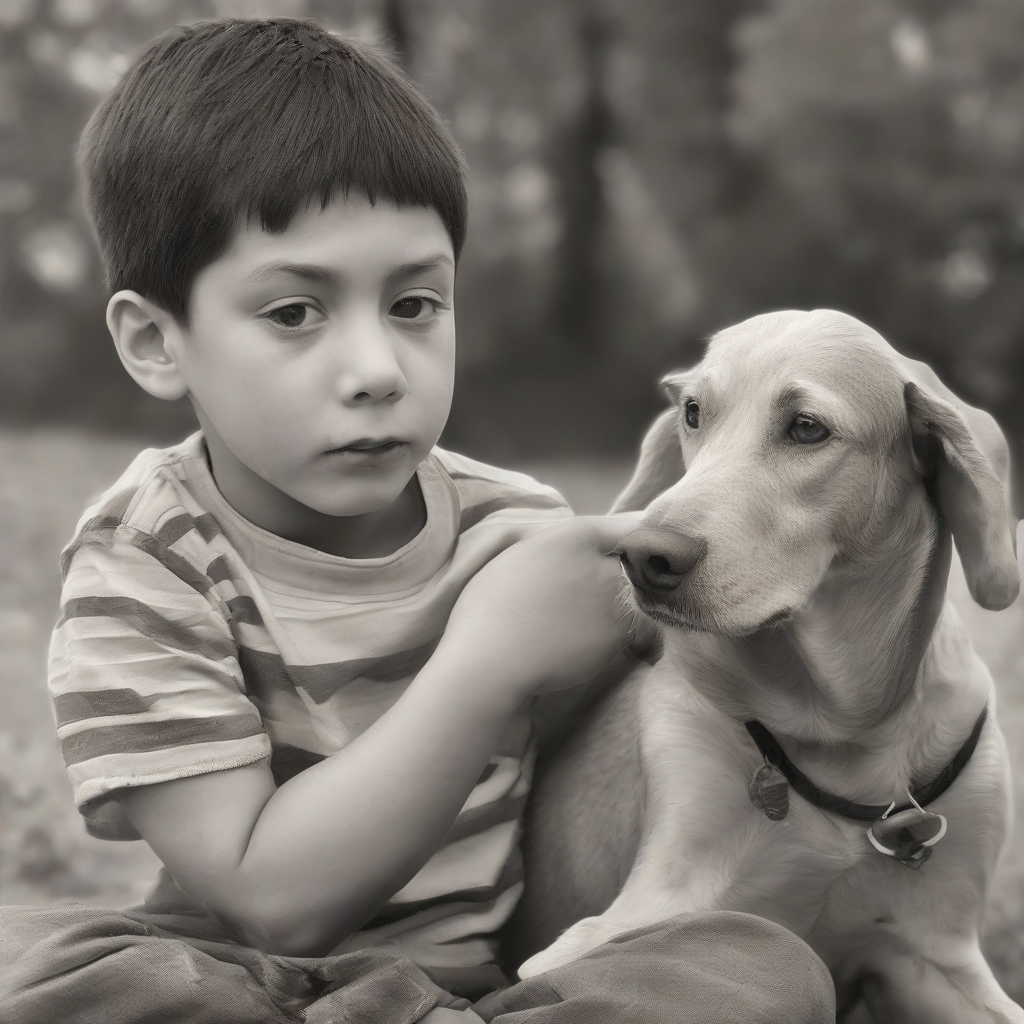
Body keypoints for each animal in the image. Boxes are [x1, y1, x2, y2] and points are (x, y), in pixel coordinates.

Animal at [512, 309, 1024, 1024]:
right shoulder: (639, 911)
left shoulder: (934, 952)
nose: (643, 557)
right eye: (694, 412)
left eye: (807, 427)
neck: (839, 730)